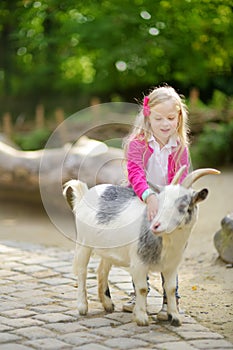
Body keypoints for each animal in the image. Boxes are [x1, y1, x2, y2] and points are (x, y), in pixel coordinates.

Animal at [63, 166, 220, 326]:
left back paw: (108, 304)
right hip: (83, 242)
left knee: (102, 271)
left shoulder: (172, 265)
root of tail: (85, 193)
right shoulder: (138, 263)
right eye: (158, 203)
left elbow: (170, 288)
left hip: (108, 249)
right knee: (82, 271)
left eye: (182, 205)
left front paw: (174, 317)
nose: (155, 225)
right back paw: (83, 306)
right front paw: (141, 318)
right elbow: (143, 288)